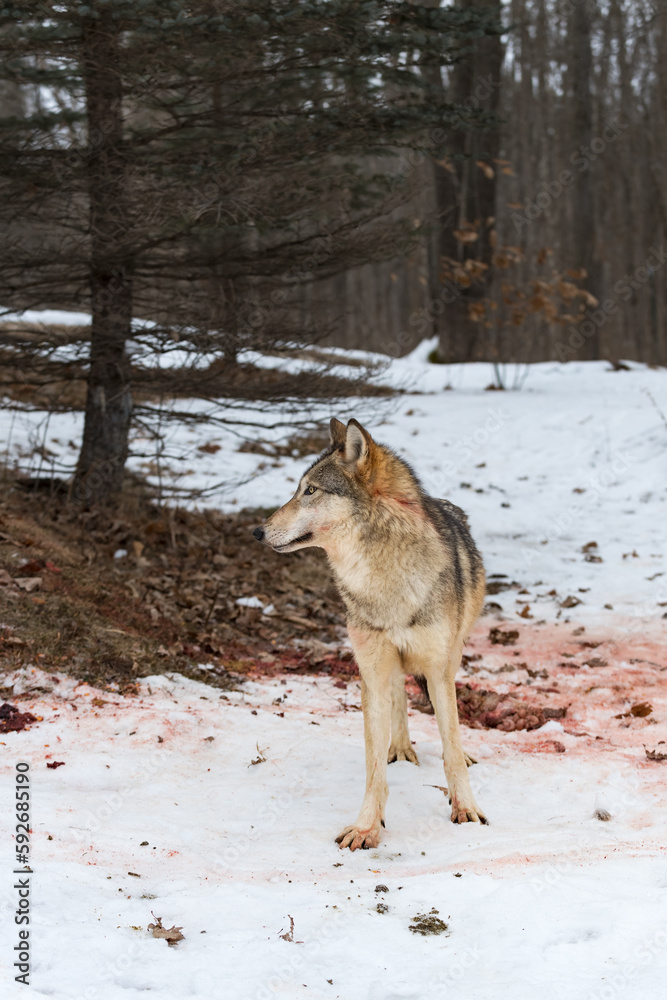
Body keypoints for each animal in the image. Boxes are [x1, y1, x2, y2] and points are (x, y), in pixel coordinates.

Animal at [253, 417, 487, 850]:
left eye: (310, 490)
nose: (257, 531)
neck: (382, 579)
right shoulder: (372, 673)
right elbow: (374, 766)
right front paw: (366, 827)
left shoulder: (438, 669)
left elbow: (449, 744)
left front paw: (465, 808)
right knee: (399, 698)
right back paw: (402, 749)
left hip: (454, 653)